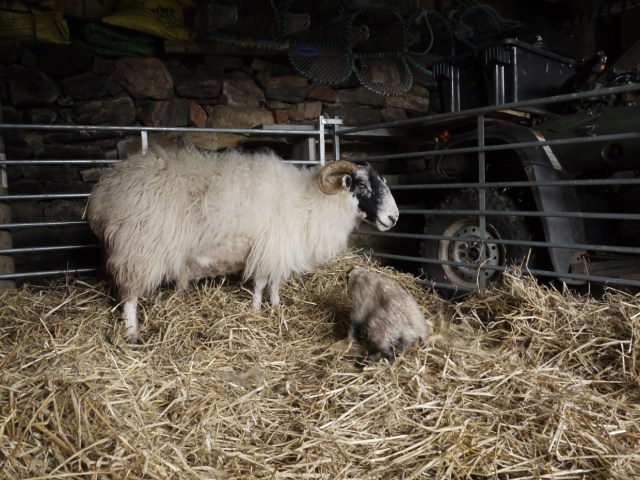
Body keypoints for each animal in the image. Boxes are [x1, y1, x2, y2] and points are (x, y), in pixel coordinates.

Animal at [87, 146, 399, 343]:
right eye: (361, 185)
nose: (393, 218)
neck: (313, 202)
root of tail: (104, 191)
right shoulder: (268, 248)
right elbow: (261, 283)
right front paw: (257, 309)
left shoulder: (276, 251)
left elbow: (275, 283)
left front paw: (275, 306)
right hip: (138, 249)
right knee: (129, 297)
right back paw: (132, 334)